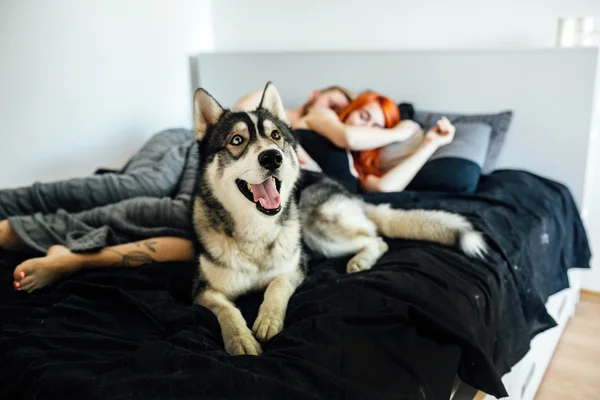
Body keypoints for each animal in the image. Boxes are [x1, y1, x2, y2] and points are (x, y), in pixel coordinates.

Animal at [192, 82, 488, 356]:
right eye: (236, 140)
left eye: (276, 135)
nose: (272, 157)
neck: (256, 232)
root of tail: (343, 190)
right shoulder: (203, 291)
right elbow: (228, 310)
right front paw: (240, 340)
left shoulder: (296, 267)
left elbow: (276, 287)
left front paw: (267, 319)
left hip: (318, 227)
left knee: (377, 239)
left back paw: (361, 260)